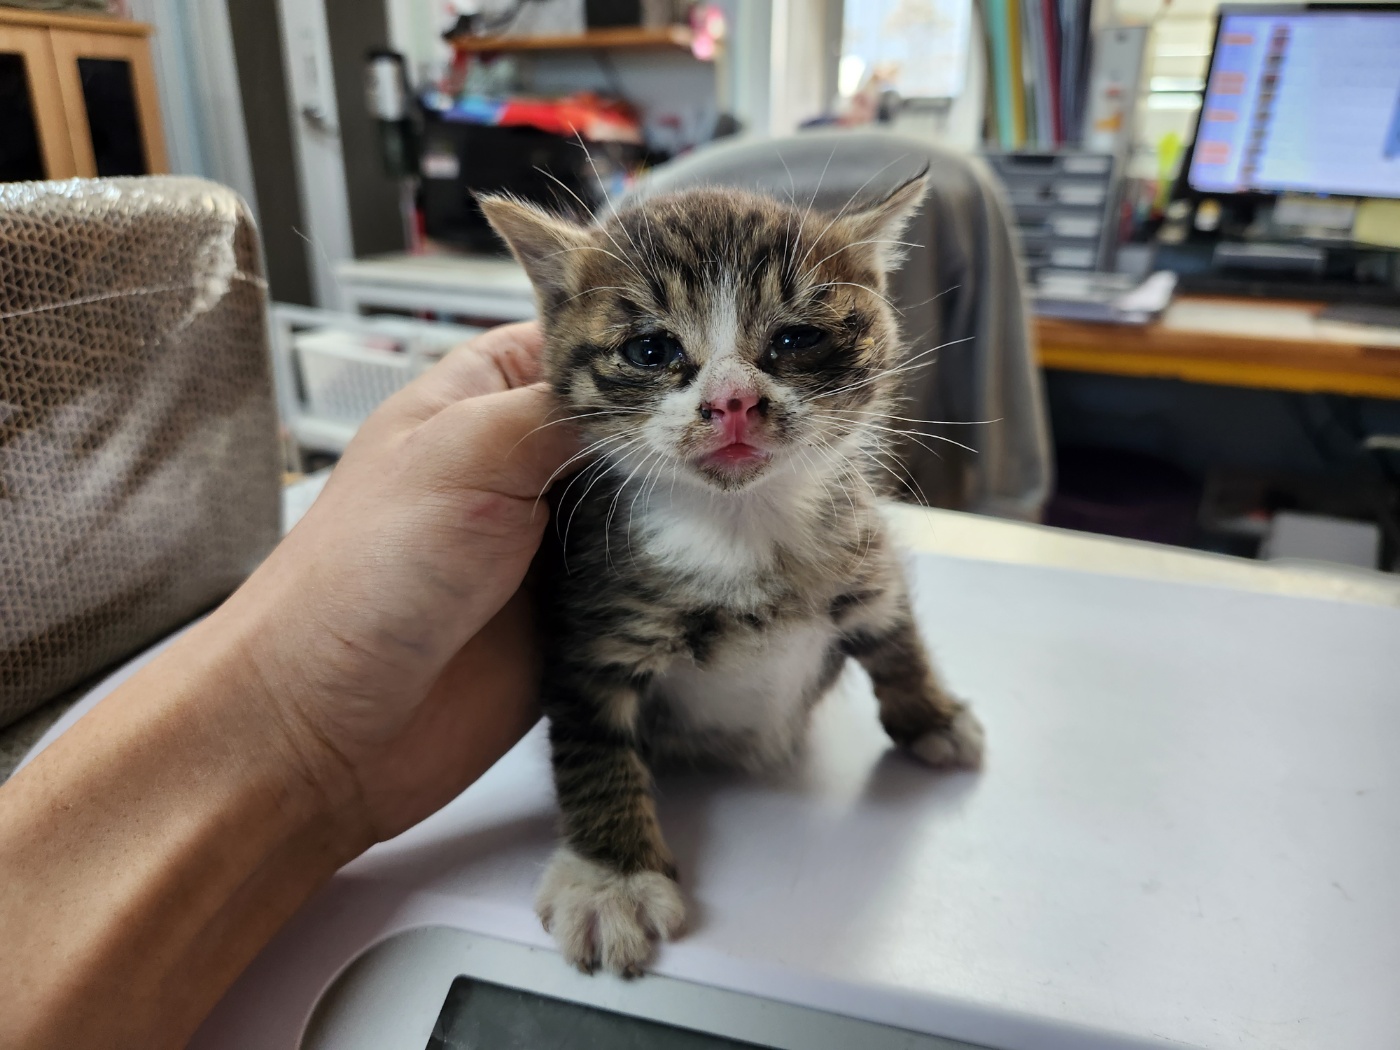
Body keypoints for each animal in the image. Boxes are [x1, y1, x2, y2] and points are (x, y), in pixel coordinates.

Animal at [481, 175, 985, 980]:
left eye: (796, 338)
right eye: (650, 348)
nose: (733, 400)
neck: (741, 529)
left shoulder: (862, 549)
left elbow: (896, 633)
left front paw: (930, 715)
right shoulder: (587, 622)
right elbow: (592, 747)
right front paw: (612, 879)